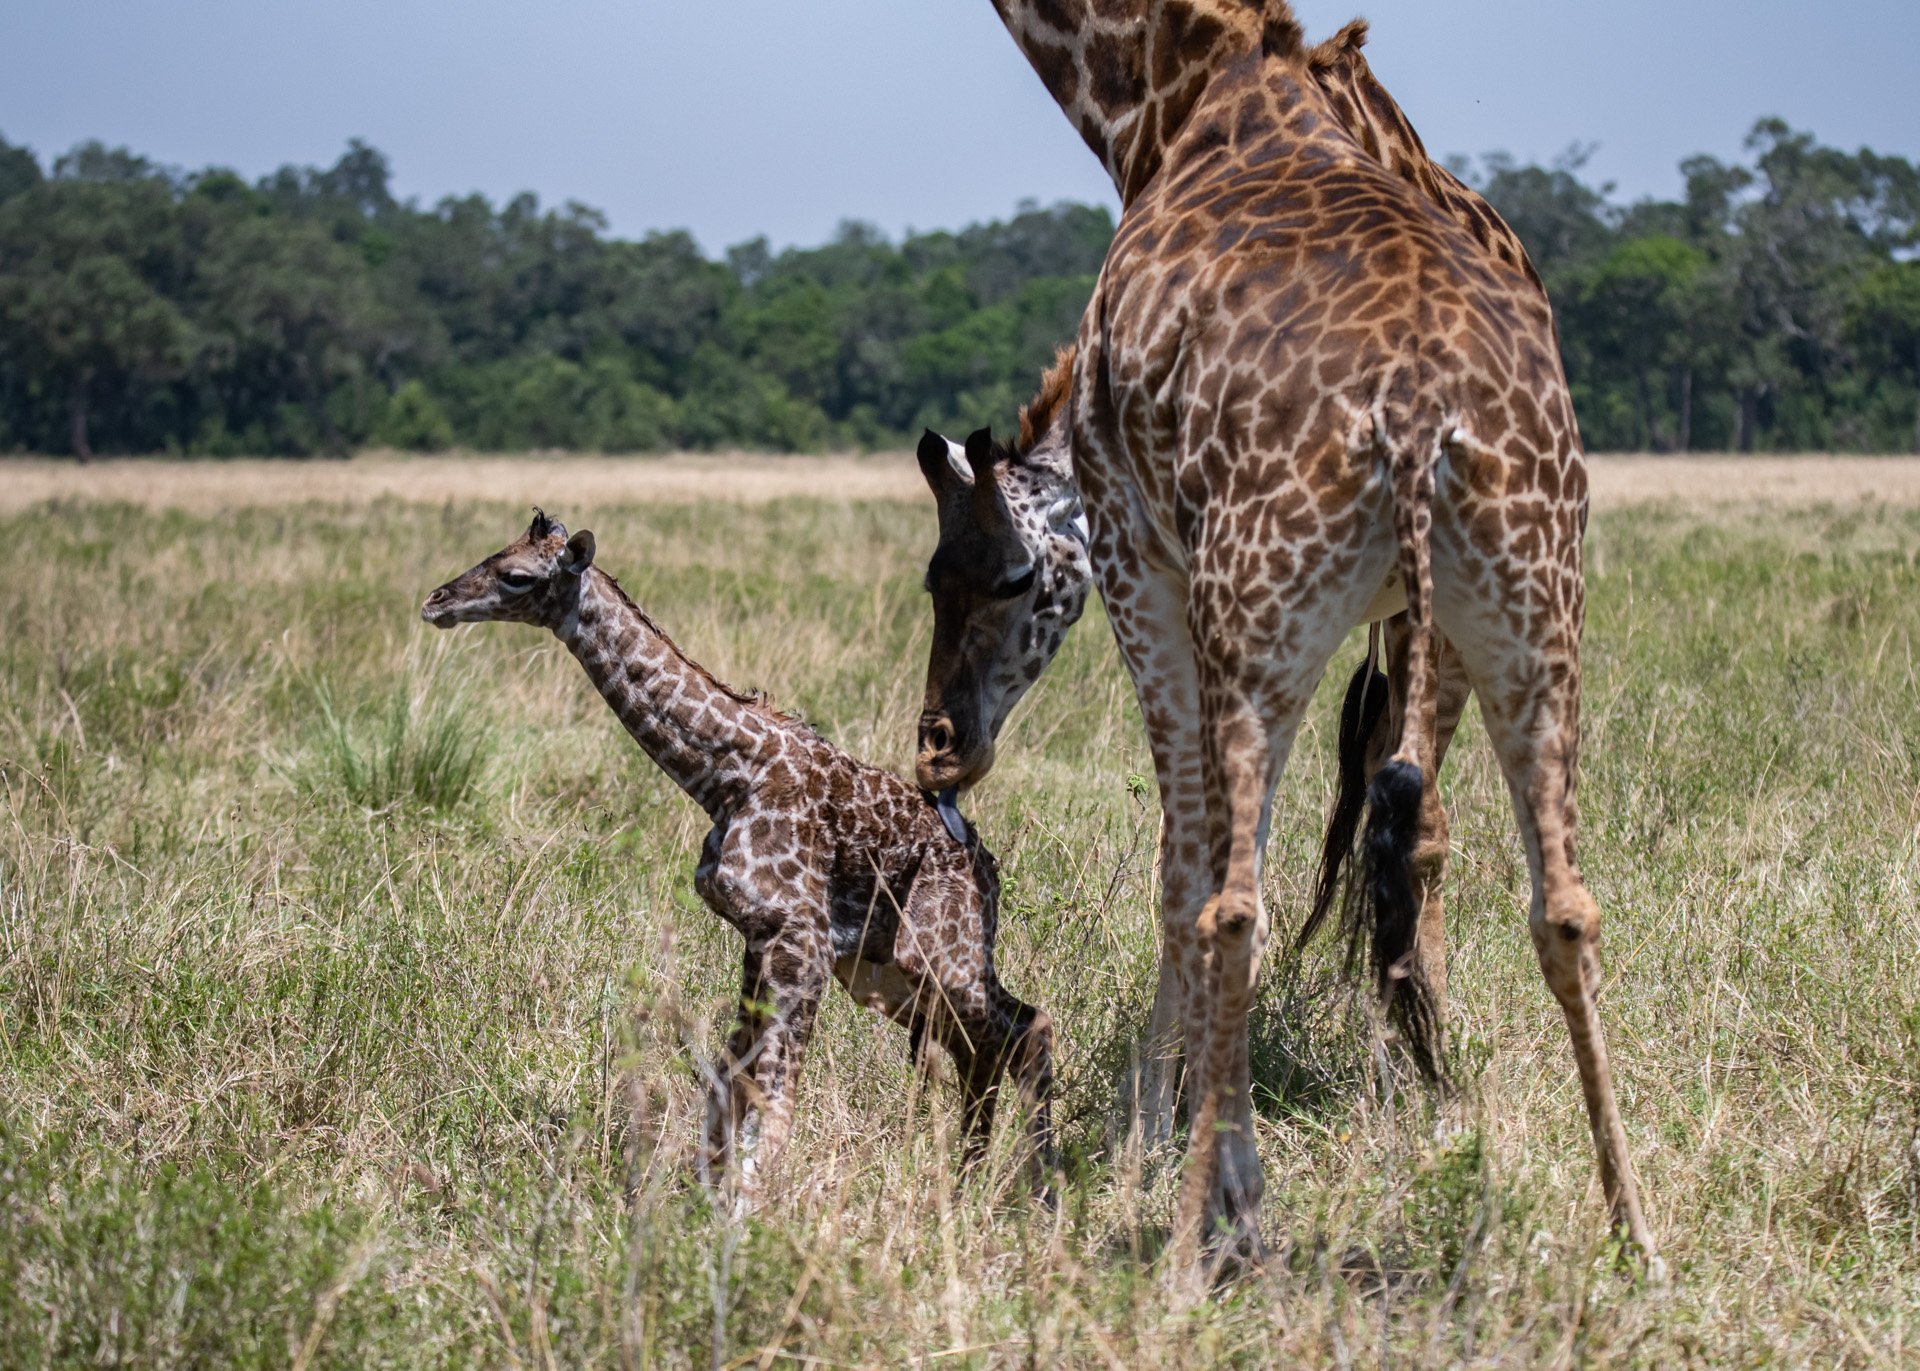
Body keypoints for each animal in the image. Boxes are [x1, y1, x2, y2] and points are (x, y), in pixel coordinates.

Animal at [422, 510, 1059, 1198]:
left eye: (515, 575)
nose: (436, 602)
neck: (723, 775)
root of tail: (990, 870)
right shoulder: (760, 935)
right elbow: (729, 1083)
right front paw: (705, 1202)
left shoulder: (801, 936)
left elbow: (773, 1102)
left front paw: (742, 1212)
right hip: (882, 971)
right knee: (989, 1044)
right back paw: (976, 1184)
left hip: (938, 953)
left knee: (1025, 1029)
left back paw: (1035, 1192)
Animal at [967, 0, 1658, 1259]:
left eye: (977, 577)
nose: (942, 747)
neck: (1172, 91)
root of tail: (1421, 417)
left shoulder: (1137, 550)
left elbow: (1181, 867)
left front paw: (1149, 1150)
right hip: (1534, 612)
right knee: (1561, 904)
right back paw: (1636, 1236)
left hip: (1261, 612)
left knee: (1240, 899)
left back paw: (1209, 1223)